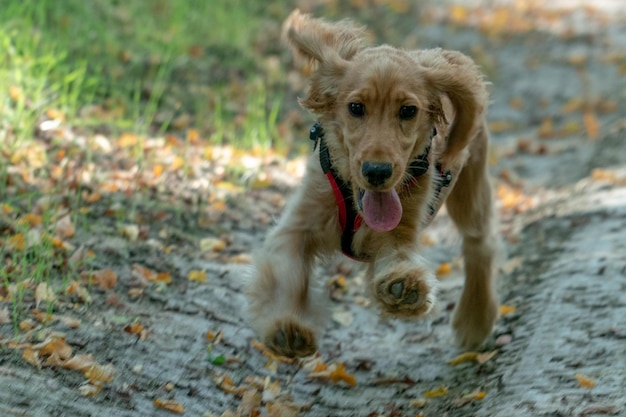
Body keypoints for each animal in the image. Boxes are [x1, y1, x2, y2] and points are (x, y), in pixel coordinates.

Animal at [246, 9, 494, 356]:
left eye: (408, 111)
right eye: (356, 107)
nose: (377, 171)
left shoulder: (399, 229)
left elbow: (398, 256)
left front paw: (403, 289)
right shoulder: (298, 223)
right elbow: (288, 274)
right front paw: (287, 327)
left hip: (471, 188)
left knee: (479, 245)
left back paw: (474, 319)